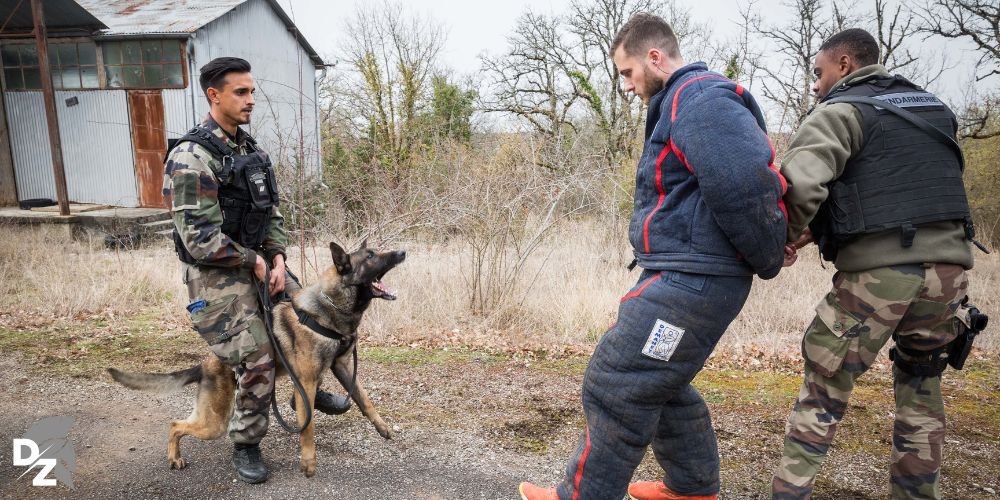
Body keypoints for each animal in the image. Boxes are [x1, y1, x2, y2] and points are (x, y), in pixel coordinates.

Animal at [107, 241, 404, 476]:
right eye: (370, 256)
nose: (402, 252)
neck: (329, 307)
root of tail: (206, 364)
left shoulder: (341, 366)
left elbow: (364, 399)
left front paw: (382, 427)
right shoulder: (307, 382)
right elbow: (307, 428)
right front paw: (308, 463)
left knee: (179, 423)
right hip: (215, 422)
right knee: (175, 425)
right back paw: (175, 457)